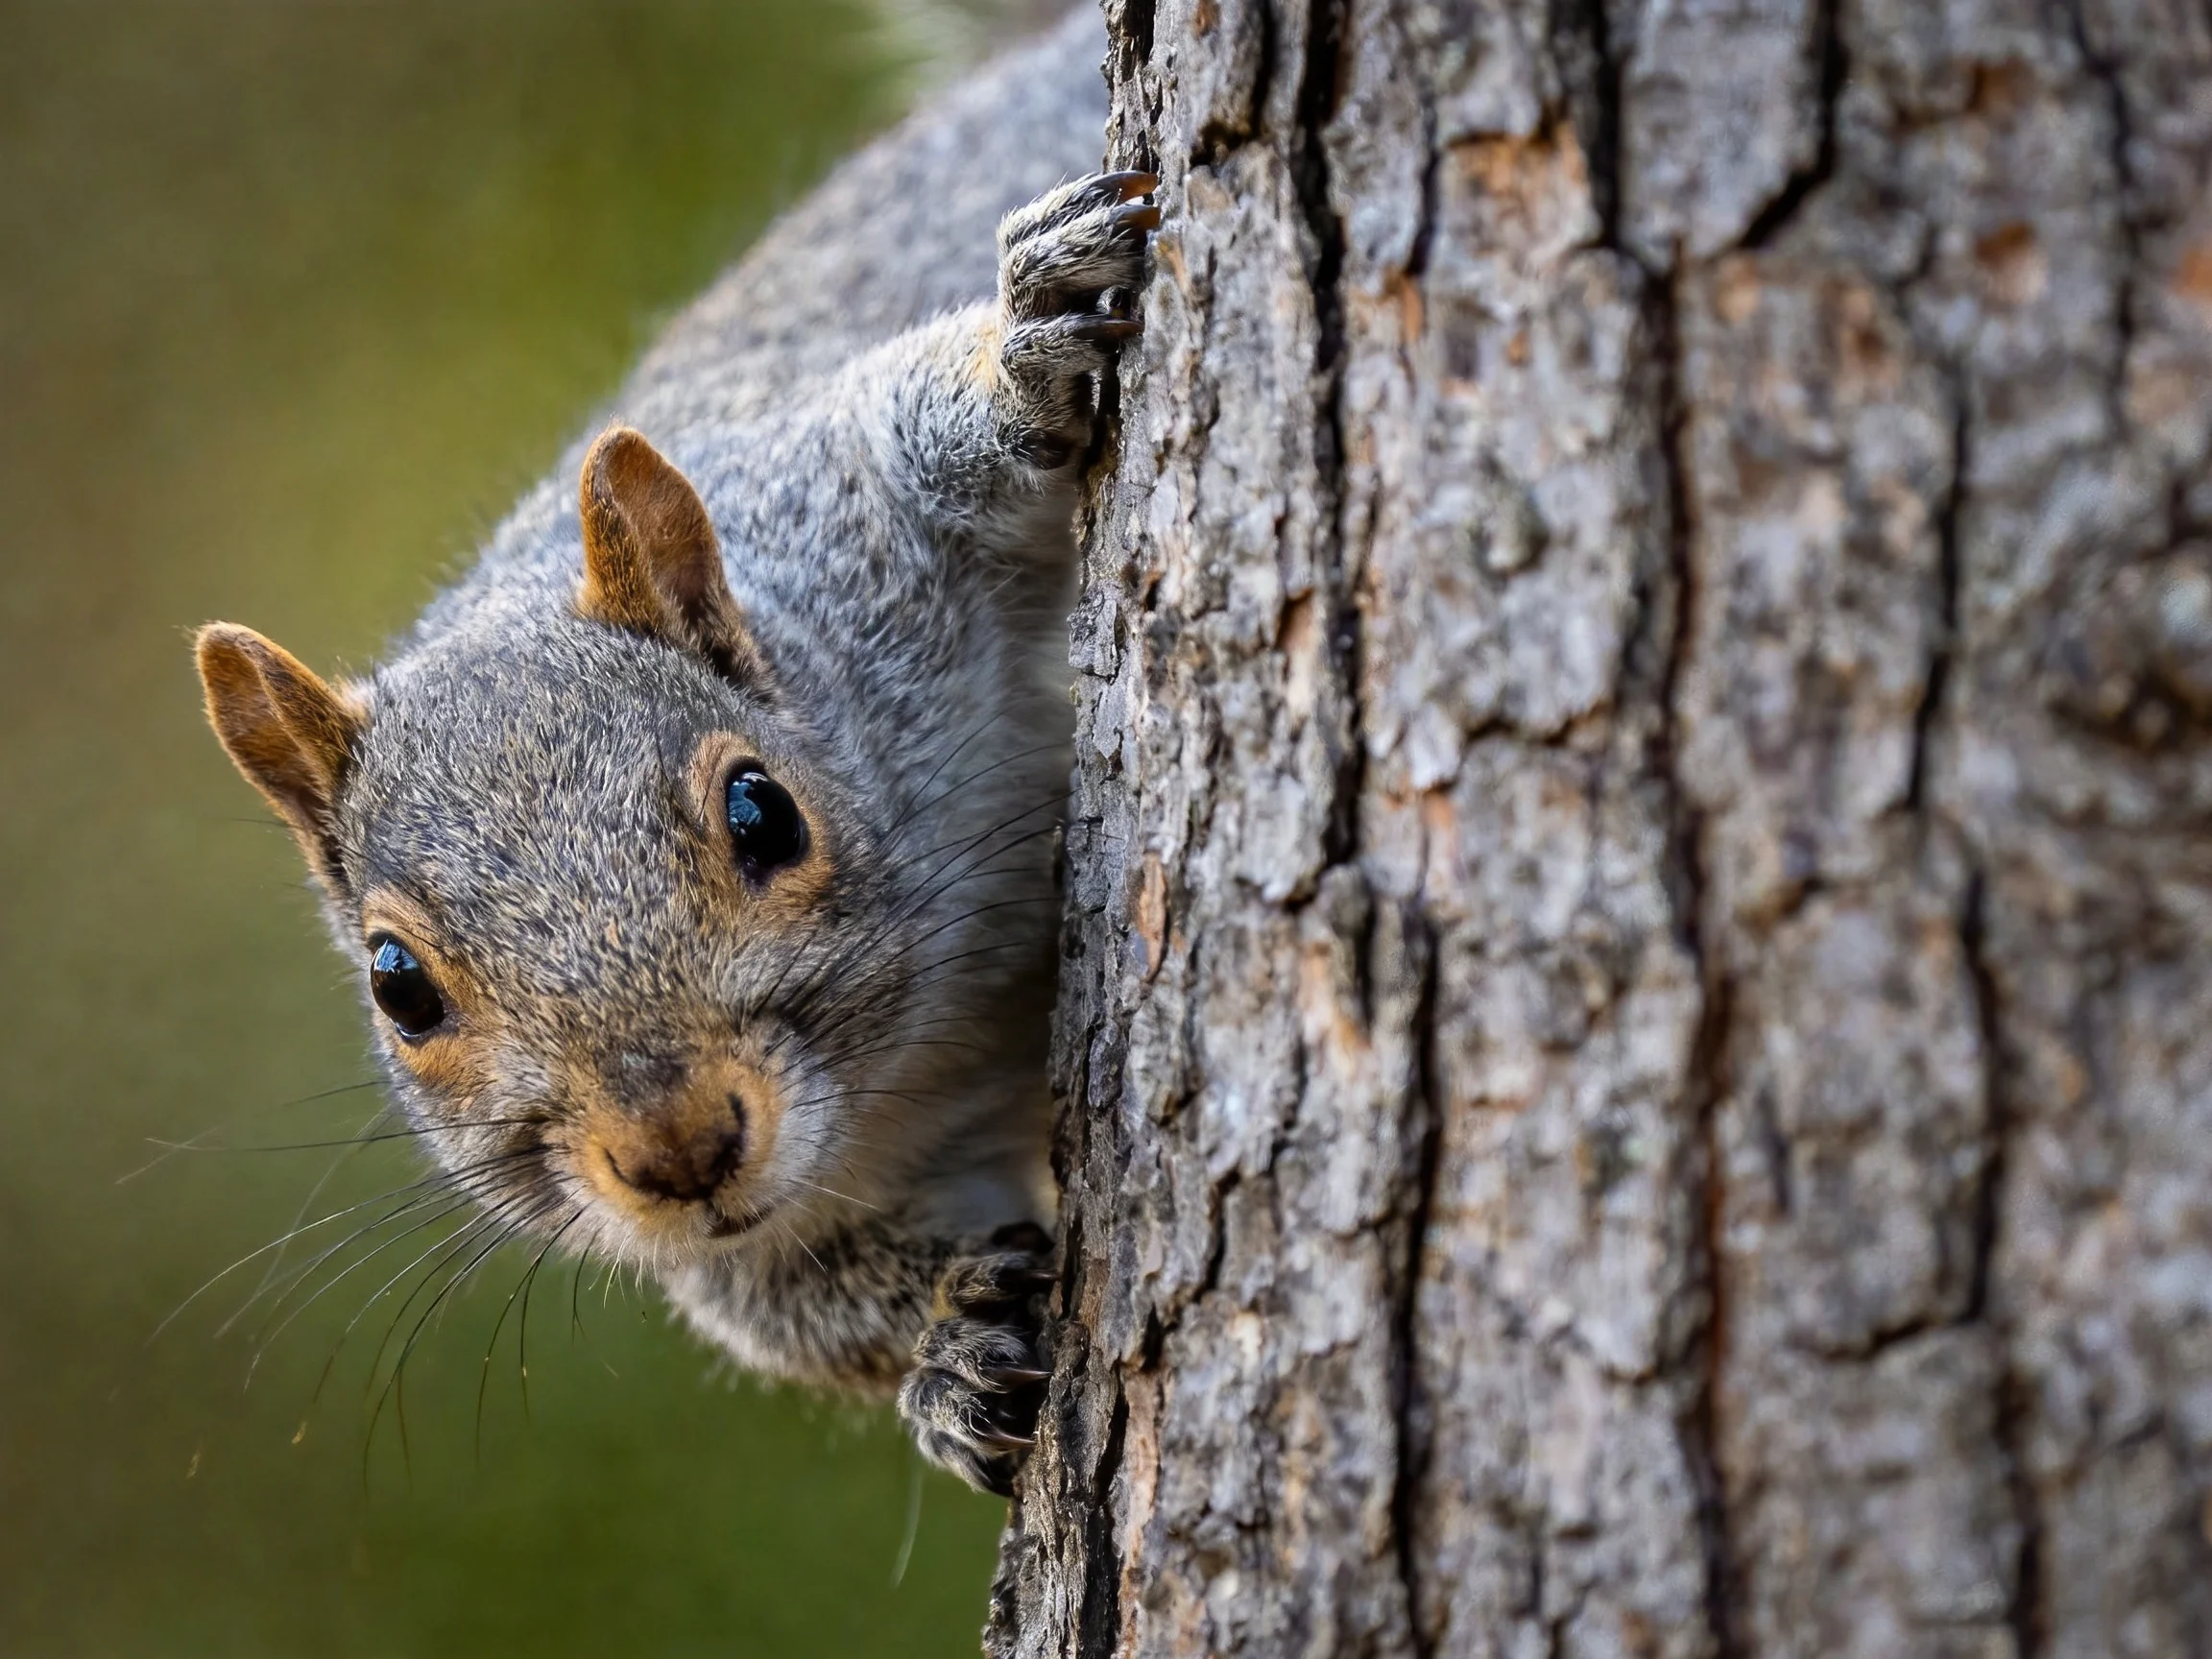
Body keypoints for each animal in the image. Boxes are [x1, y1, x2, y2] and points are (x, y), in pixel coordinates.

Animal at [190, 12, 1150, 1497]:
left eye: (763, 814)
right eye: (400, 988)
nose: (681, 1150)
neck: (912, 1049)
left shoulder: (854, 521)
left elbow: (928, 427)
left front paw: (1027, 346)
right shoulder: (749, 1259)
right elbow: (800, 1312)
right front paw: (949, 1357)